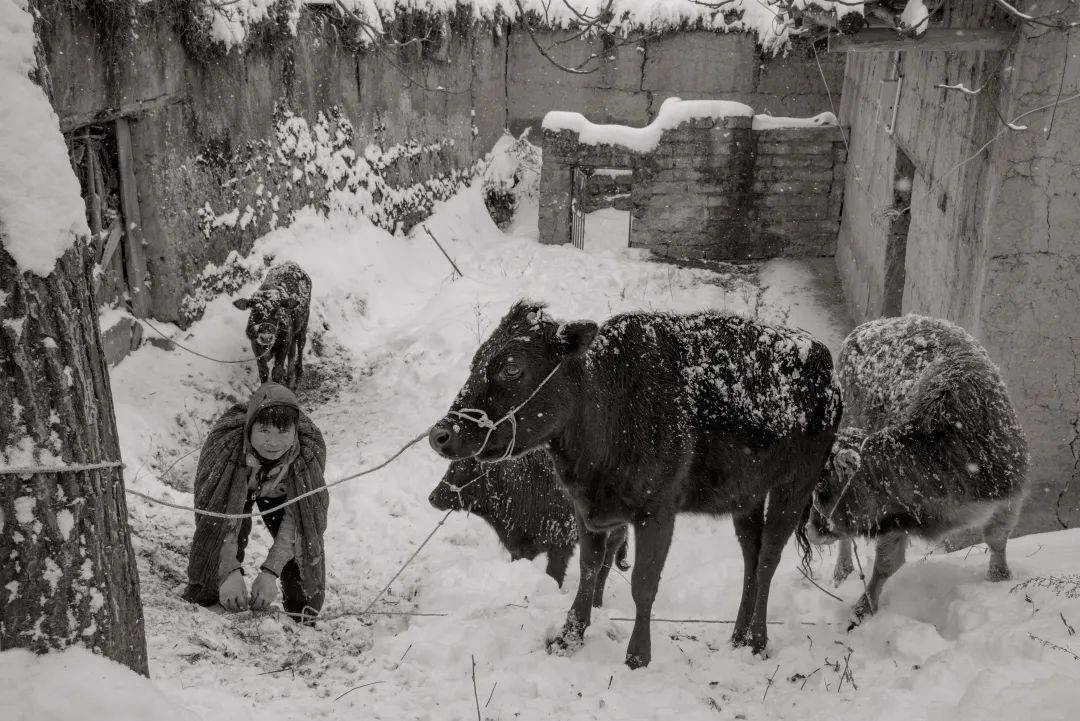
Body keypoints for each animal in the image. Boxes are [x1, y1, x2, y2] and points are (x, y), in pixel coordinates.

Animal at [231, 260, 311, 388]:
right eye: (254, 311)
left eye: (277, 311)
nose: (266, 337)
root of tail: (292, 264)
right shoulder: (255, 344)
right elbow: (263, 371)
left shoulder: (284, 344)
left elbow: (276, 371)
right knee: (292, 353)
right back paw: (289, 378)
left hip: (303, 326)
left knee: (301, 345)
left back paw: (298, 372)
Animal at [429, 453, 630, 600]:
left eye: (458, 468)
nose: (432, 497)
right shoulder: (520, 549)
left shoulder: (561, 545)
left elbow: (554, 575)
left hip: (613, 539)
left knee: (602, 572)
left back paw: (596, 603)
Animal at [807, 315, 1023, 626]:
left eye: (823, 487)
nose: (811, 531)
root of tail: (869, 326)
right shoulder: (895, 514)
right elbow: (886, 563)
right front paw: (863, 608)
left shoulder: (1009, 496)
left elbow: (996, 538)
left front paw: (999, 579)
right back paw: (842, 572)